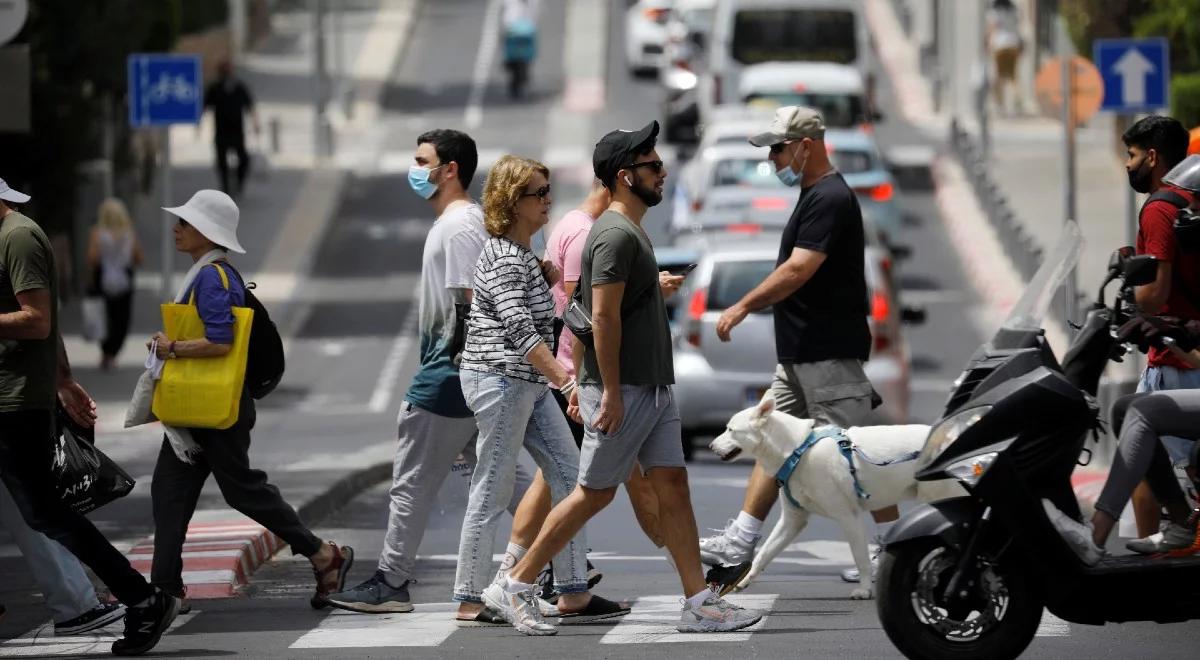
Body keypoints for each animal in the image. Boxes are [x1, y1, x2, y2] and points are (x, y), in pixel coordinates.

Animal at [705, 396, 960, 602]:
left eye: (730, 430)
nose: (710, 445)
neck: (798, 450)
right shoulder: (792, 520)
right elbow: (764, 553)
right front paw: (743, 579)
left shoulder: (849, 517)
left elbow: (861, 558)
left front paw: (865, 590)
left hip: (937, 497)